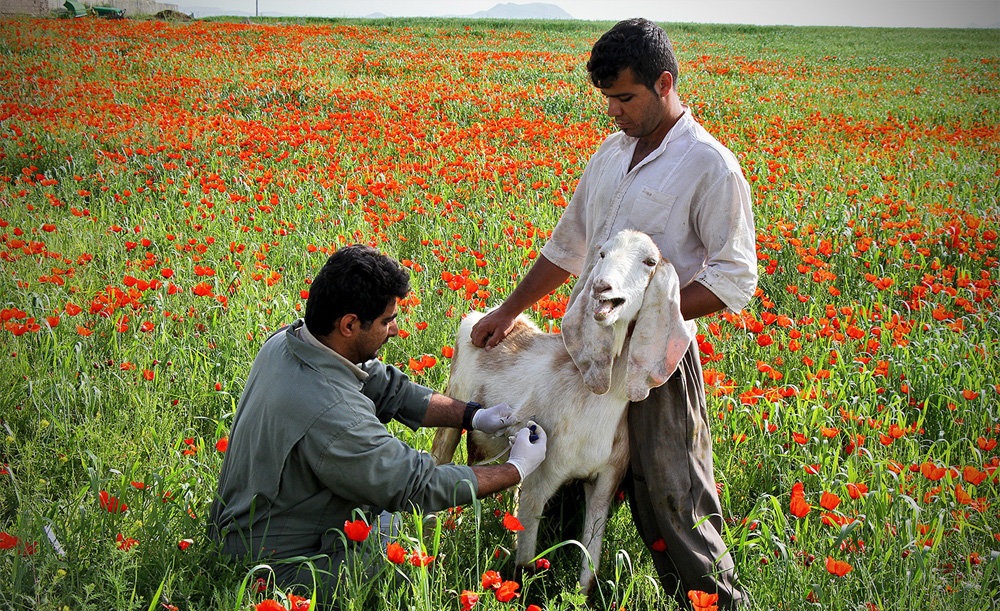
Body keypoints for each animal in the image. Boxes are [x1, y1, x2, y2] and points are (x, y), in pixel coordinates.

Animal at [430, 230, 696, 592]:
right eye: (602, 253)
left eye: (650, 261)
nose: (602, 287)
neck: (595, 403)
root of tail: (481, 315)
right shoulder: (540, 479)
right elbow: (525, 565)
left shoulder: (604, 482)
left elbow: (590, 564)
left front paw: (581, 595)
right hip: (452, 410)